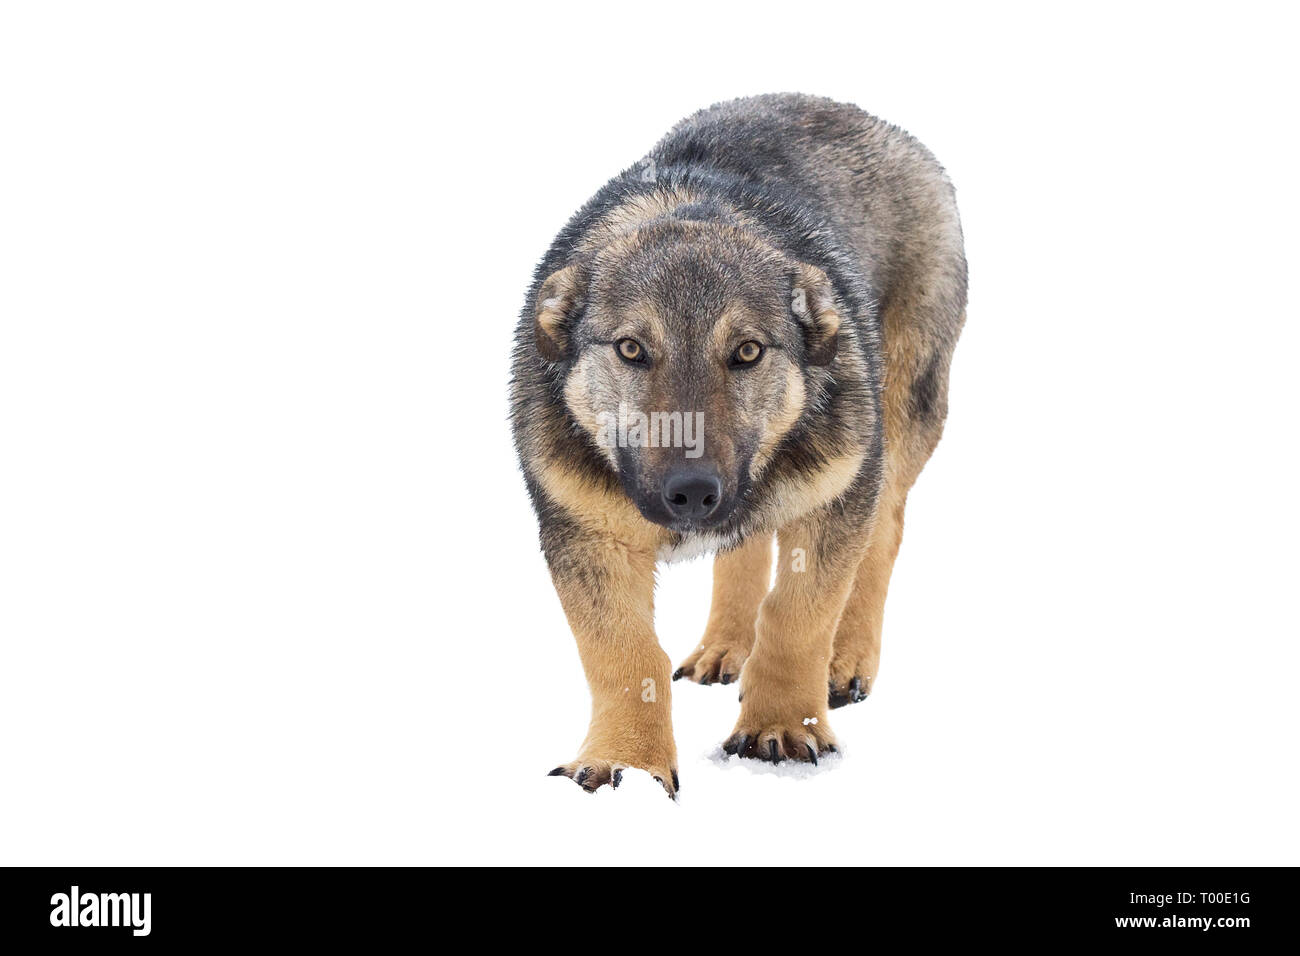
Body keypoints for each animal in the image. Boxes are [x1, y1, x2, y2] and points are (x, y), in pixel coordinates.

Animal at [506, 95, 967, 801]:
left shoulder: (836, 491)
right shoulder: (584, 529)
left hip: (903, 409)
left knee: (883, 531)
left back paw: (848, 658)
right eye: (631, 348)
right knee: (745, 547)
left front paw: (782, 728)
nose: (694, 491)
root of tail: (863, 115)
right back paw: (723, 646)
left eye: (747, 351)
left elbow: (797, 617)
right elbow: (622, 652)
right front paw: (626, 764)